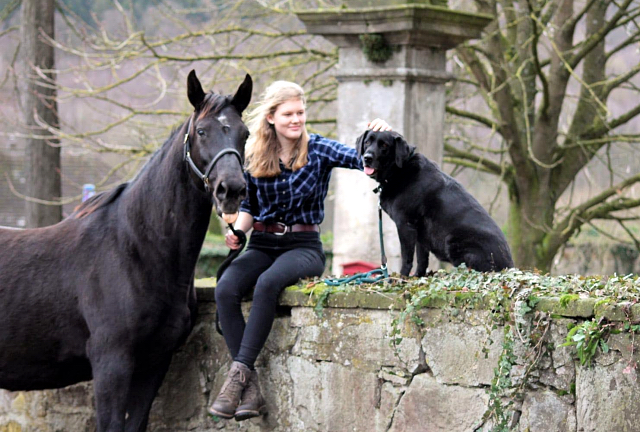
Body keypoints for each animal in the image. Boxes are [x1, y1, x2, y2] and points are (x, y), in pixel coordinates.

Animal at [0, 71, 252, 432]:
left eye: (245, 133)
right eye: (202, 131)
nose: (231, 190)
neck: (135, 250)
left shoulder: (155, 361)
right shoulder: (112, 362)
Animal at [356, 130, 516, 276]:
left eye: (384, 145)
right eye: (367, 142)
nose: (367, 158)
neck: (399, 171)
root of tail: (509, 266)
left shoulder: (405, 225)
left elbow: (407, 258)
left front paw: (401, 278)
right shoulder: (420, 233)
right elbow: (422, 259)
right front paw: (418, 277)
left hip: (453, 242)